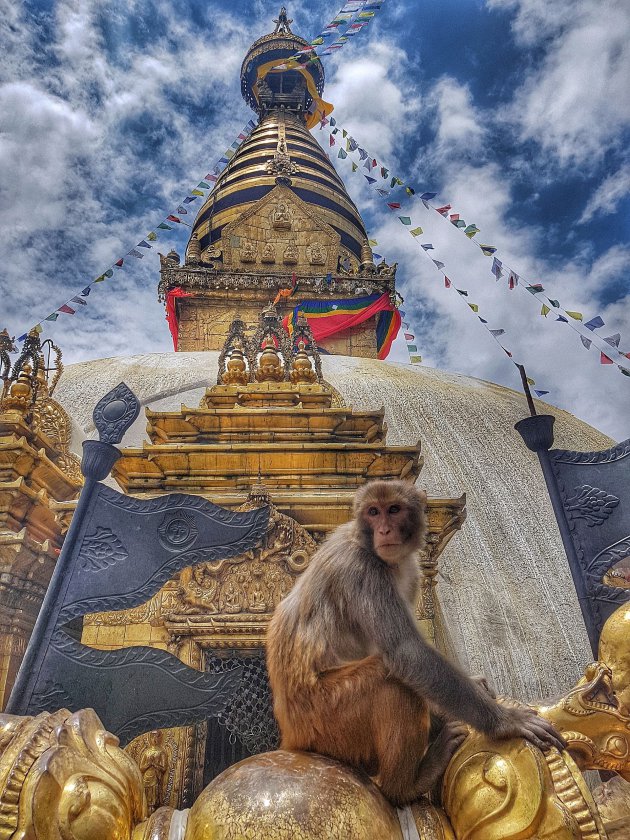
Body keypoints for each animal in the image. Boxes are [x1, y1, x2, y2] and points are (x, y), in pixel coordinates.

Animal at [266, 480, 568, 808]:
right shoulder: (363, 571)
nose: (384, 530)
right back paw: (405, 786)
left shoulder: (411, 571)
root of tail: (291, 735)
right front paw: (505, 722)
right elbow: (405, 653)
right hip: (326, 720)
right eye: (373, 512)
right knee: (390, 681)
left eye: (393, 509)